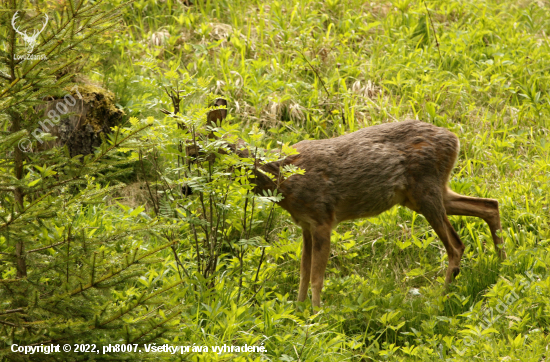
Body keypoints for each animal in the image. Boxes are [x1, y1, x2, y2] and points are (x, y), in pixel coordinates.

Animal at [249, 120, 508, 310]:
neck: (282, 178)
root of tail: (454, 139)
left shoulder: (323, 218)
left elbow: (316, 277)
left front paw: (316, 315)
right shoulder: (306, 225)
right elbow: (303, 274)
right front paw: (298, 311)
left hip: (426, 191)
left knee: (456, 246)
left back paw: (439, 300)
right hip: (425, 194)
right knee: (490, 205)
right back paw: (503, 266)